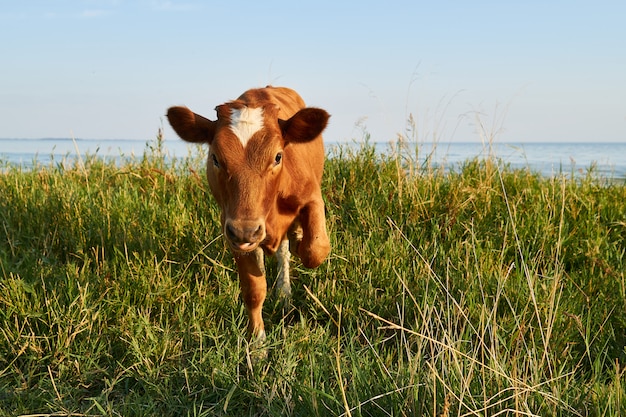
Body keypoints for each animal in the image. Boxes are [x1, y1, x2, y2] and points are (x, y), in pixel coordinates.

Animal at [166, 85, 332, 342]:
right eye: (215, 158)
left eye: (278, 156)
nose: (247, 230)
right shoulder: (233, 230)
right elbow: (254, 289)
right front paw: (257, 342)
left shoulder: (312, 196)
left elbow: (314, 250)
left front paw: (299, 241)